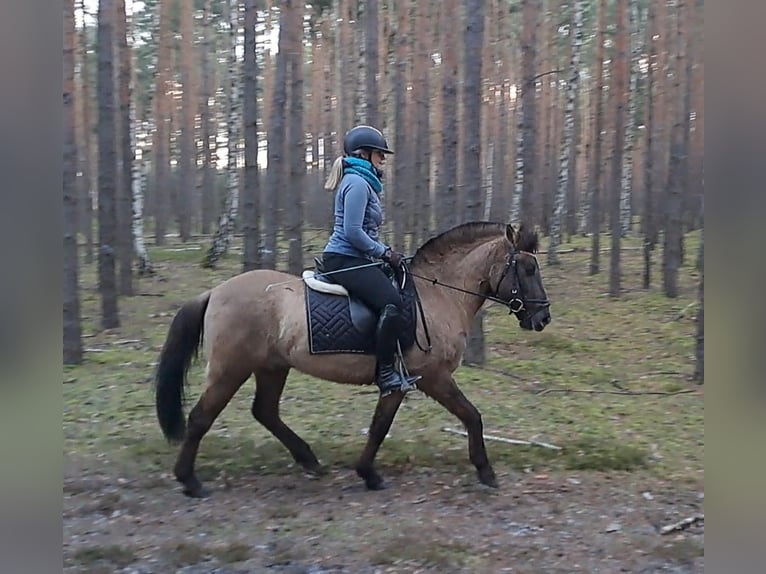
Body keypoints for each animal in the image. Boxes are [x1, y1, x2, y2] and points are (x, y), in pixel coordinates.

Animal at [155, 222, 551, 497]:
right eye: (528, 269)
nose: (542, 318)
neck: (437, 296)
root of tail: (215, 291)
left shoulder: (408, 382)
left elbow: (381, 425)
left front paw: (367, 473)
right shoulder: (430, 378)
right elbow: (467, 416)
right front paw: (486, 472)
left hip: (272, 366)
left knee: (265, 412)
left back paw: (310, 461)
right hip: (230, 369)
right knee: (201, 417)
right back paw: (190, 481)